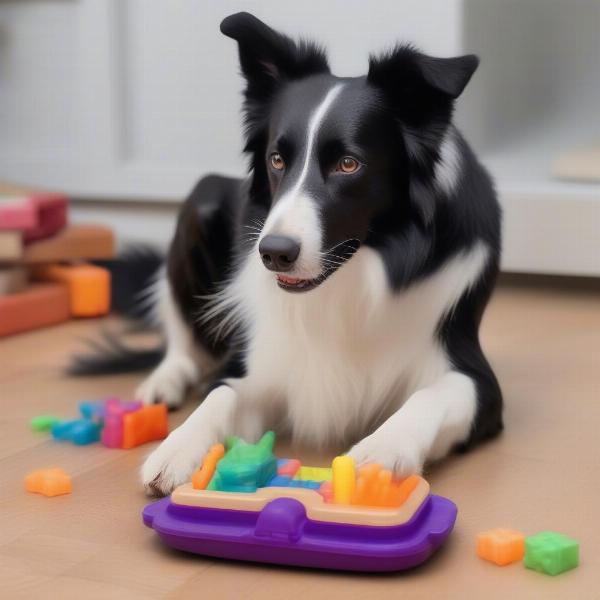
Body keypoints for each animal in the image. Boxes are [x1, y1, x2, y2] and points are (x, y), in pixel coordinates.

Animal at [135, 12, 502, 496]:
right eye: (276, 159)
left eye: (349, 164)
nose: (273, 253)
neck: (357, 274)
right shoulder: (261, 363)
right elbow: (219, 396)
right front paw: (177, 448)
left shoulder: (476, 378)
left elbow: (433, 395)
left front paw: (382, 451)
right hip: (202, 198)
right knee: (180, 337)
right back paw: (163, 383)